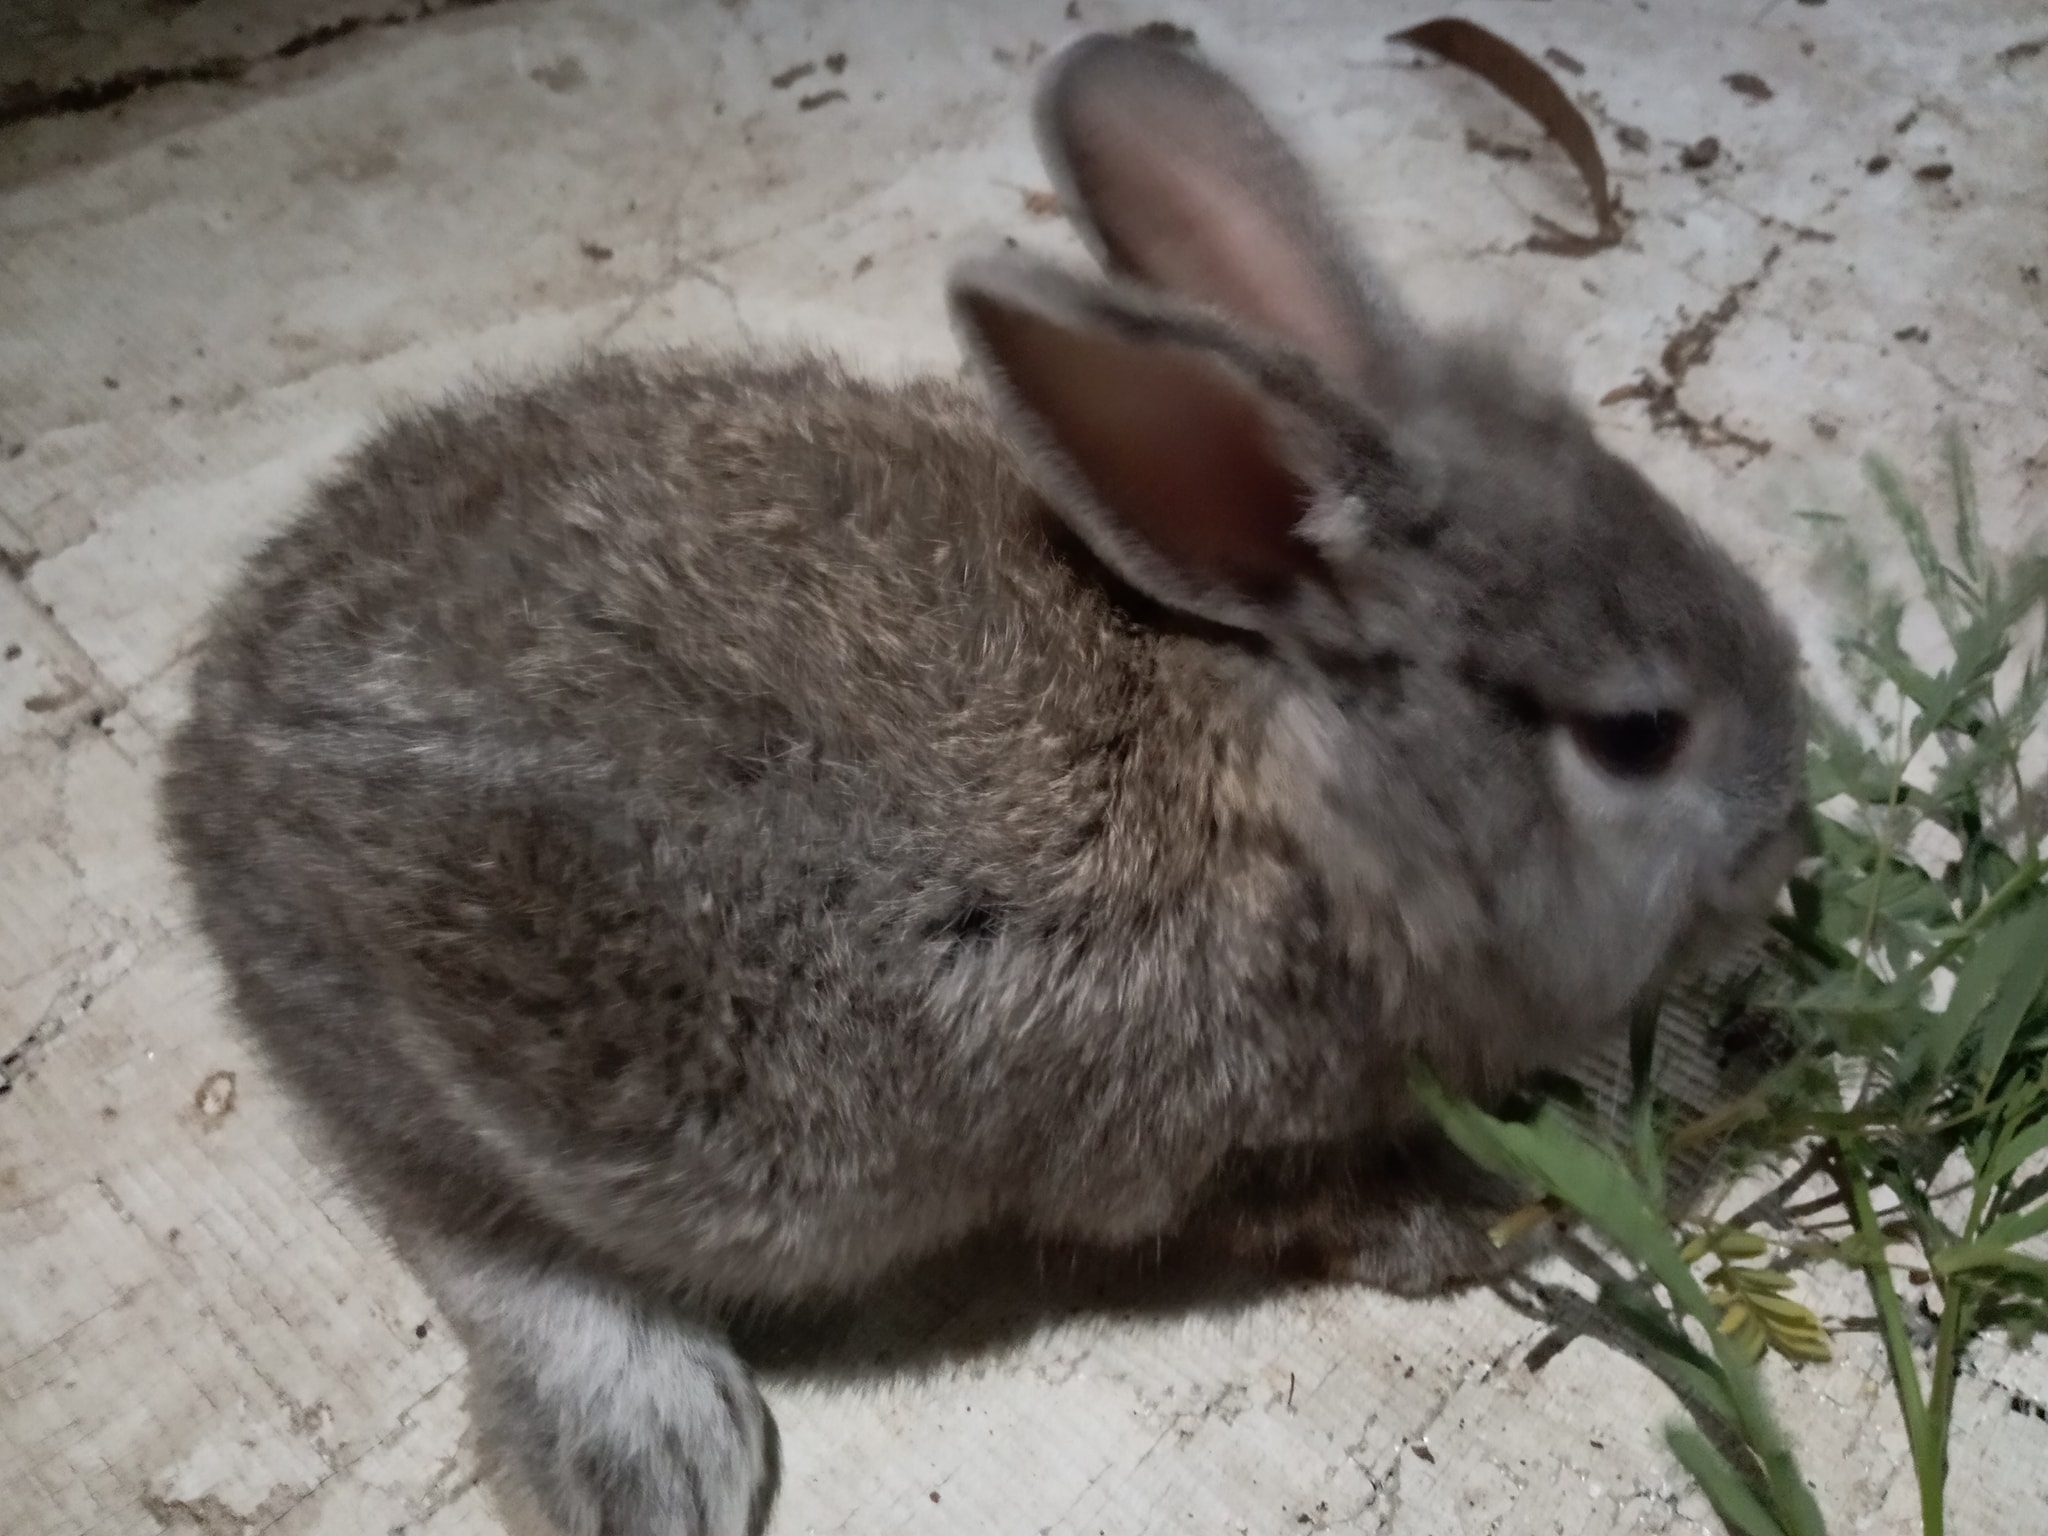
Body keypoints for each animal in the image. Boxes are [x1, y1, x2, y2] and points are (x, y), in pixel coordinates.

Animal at [161, 30, 1808, 1536]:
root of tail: (207, 753)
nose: (1785, 837)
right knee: (459, 1212)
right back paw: (651, 1452)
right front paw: (1476, 1224)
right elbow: (1315, 1205)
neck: (1309, 794)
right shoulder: (1204, 1139)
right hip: (521, 1071)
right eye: (1639, 735)